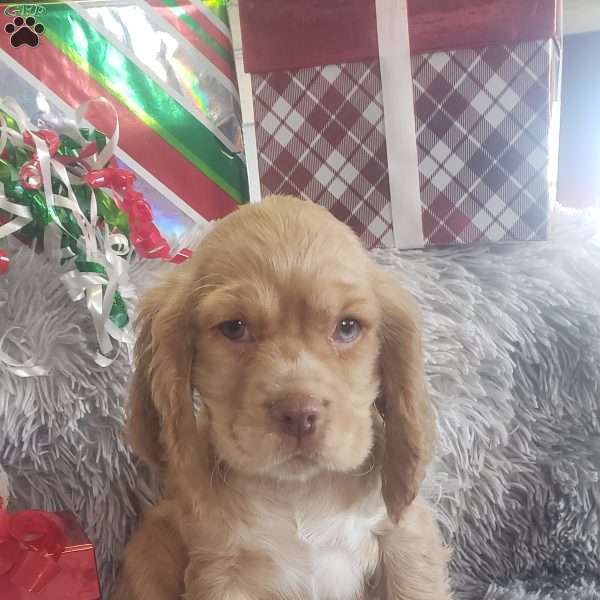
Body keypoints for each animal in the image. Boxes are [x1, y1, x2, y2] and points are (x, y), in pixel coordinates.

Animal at [113, 197, 450, 600]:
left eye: (347, 327)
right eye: (234, 328)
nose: (299, 414)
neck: (298, 492)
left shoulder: (405, 541)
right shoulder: (222, 570)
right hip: (147, 550)